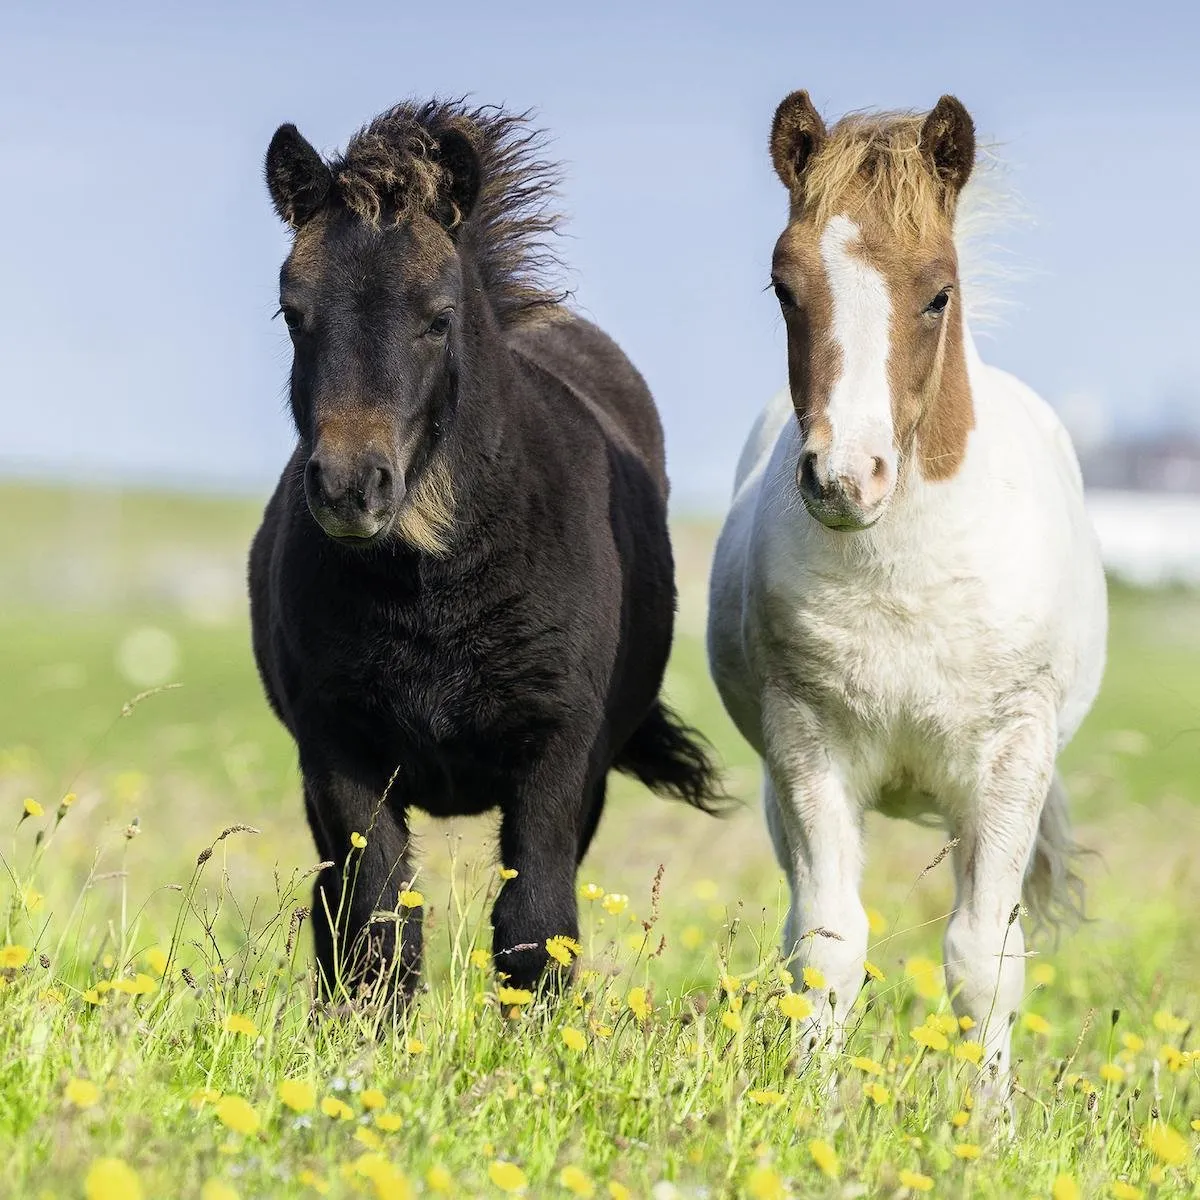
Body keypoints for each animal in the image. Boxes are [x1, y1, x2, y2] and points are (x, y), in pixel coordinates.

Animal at [249, 99, 719, 1006]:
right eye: (292, 313)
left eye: (439, 317)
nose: (351, 488)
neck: (434, 587)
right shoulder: (339, 754)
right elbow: (376, 929)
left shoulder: (557, 758)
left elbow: (535, 930)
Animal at [706, 92, 1107, 1091]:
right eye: (784, 287)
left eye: (938, 293)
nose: (845, 480)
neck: (905, 575)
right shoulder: (806, 747)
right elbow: (828, 946)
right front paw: (812, 1106)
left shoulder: (1009, 761)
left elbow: (983, 961)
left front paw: (988, 1121)